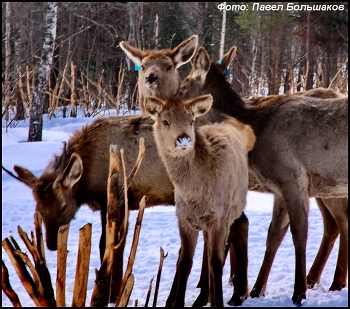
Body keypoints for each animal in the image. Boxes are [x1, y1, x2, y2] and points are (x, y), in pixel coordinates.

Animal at [144, 94, 256, 306]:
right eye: (165, 121)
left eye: (191, 120)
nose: (184, 139)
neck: (196, 195)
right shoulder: (184, 219)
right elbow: (184, 262)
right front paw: (177, 302)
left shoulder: (219, 217)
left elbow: (216, 262)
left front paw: (218, 302)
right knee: (207, 247)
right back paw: (205, 295)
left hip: (234, 204)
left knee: (240, 226)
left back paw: (235, 294)